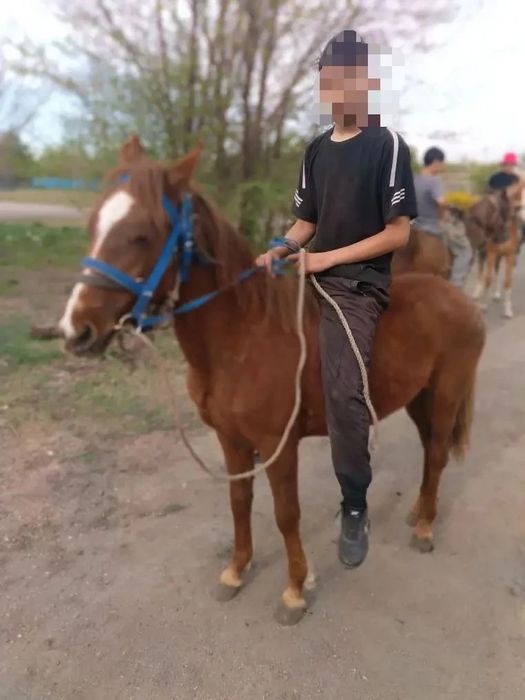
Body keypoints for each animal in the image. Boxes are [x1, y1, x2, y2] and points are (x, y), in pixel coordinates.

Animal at [58, 136, 486, 625]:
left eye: (142, 234)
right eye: (94, 223)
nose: (76, 331)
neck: (242, 337)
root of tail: (461, 299)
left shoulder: (279, 444)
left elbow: (286, 513)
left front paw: (295, 589)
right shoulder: (231, 440)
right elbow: (239, 501)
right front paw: (235, 571)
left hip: (446, 393)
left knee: (437, 454)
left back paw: (425, 528)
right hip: (419, 398)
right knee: (429, 451)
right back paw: (418, 510)